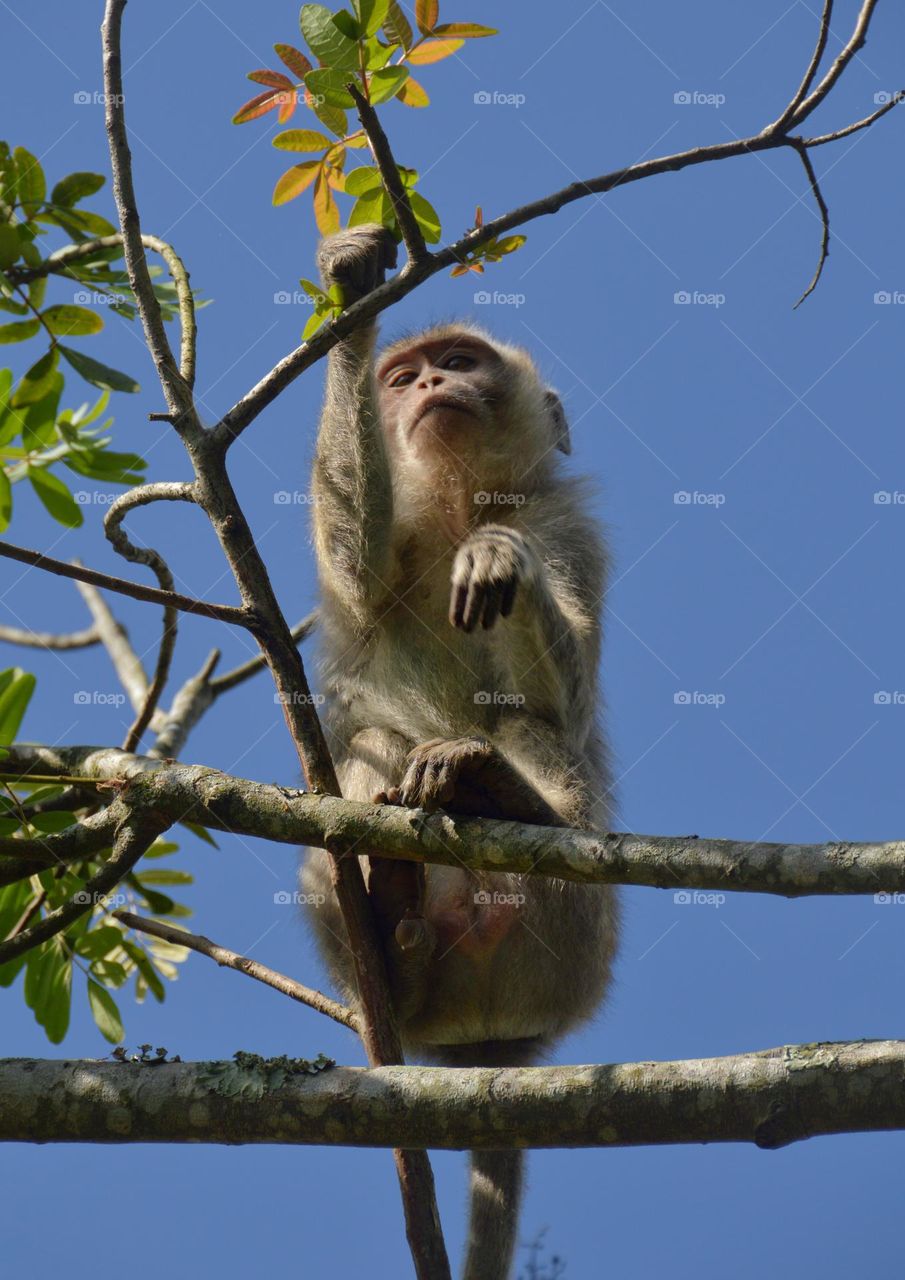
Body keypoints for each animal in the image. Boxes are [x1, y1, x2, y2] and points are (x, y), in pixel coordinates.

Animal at [300, 223, 619, 1280]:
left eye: (462, 362)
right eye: (402, 376)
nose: (432, 380)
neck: (454, 506)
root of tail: (492, 1048)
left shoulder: (570, 528)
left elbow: (560, 704)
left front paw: (496, 557)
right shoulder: (390, 536)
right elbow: (353, 564)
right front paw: (352, 285)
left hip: (571, 944)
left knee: (525, 732)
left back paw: (497, 793)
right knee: (362, 751)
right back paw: (392, 930)